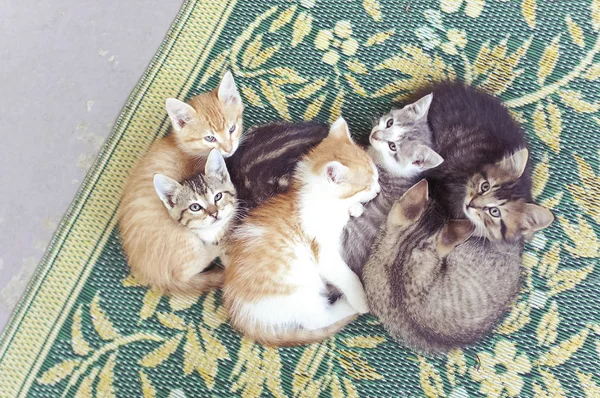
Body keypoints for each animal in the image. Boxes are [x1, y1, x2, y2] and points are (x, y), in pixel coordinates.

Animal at [119, 71, 244, 296]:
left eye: (232, 129)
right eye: (209, 138)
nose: (229, 148)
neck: (183, 147)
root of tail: (157, 280)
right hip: (189, 244)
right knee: (188, 269)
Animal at [223, 116, 382, 346]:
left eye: (377, 177)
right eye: (368, 185)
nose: (378, 190)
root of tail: (242, 316)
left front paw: (355, 208)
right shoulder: (323, 251)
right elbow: (346, 275)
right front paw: (360, 299)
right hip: (298, 291)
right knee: (319, 320)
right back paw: (347, 307)